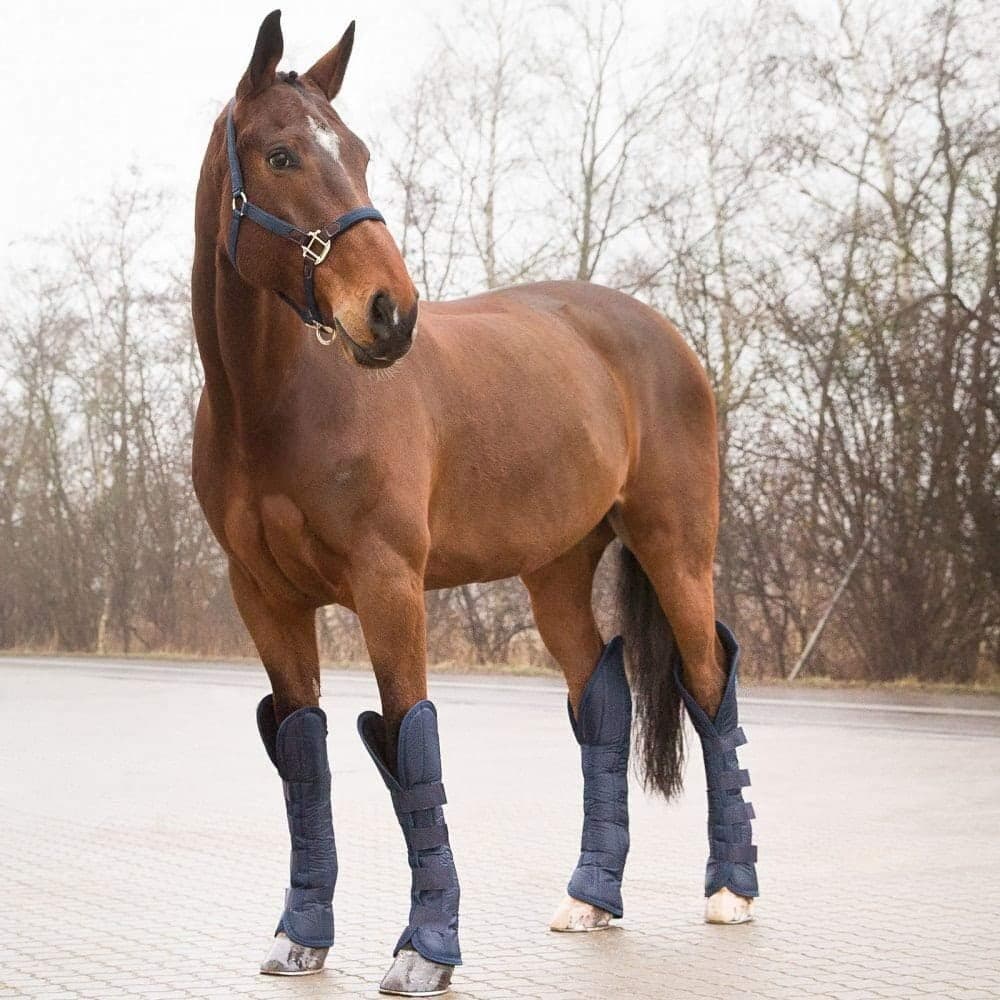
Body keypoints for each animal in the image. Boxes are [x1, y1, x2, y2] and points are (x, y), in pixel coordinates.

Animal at [191, 11, 759, 996]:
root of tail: (662, 336)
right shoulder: (263, 596)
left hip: (676, 549)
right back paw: (591, 899)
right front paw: (302, 937)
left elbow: (408, 746)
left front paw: (426, 949)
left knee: (707, 681)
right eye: (281, 155)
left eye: (360, 153)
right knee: (601, 701)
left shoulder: (389, 586)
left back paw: (730, 890)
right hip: (558, 570)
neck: (274, 404)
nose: (391, 314)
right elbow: (304, 754)